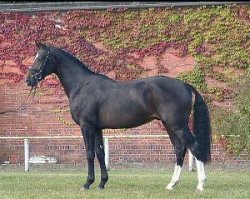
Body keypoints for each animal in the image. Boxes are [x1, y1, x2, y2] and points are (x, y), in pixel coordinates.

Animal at [25, 41, 211, 191]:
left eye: (41, 58)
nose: (29, 80)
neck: (82, 85)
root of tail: (184, 85)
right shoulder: (97, 128)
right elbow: (100, 153)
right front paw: (102, 183)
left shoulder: (87, 126)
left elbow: (90, 153)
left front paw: (87, 183)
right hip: (169, 125)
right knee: (180, 150)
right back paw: (171, 184)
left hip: (178, 125)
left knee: (194, 147)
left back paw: (201, 185)